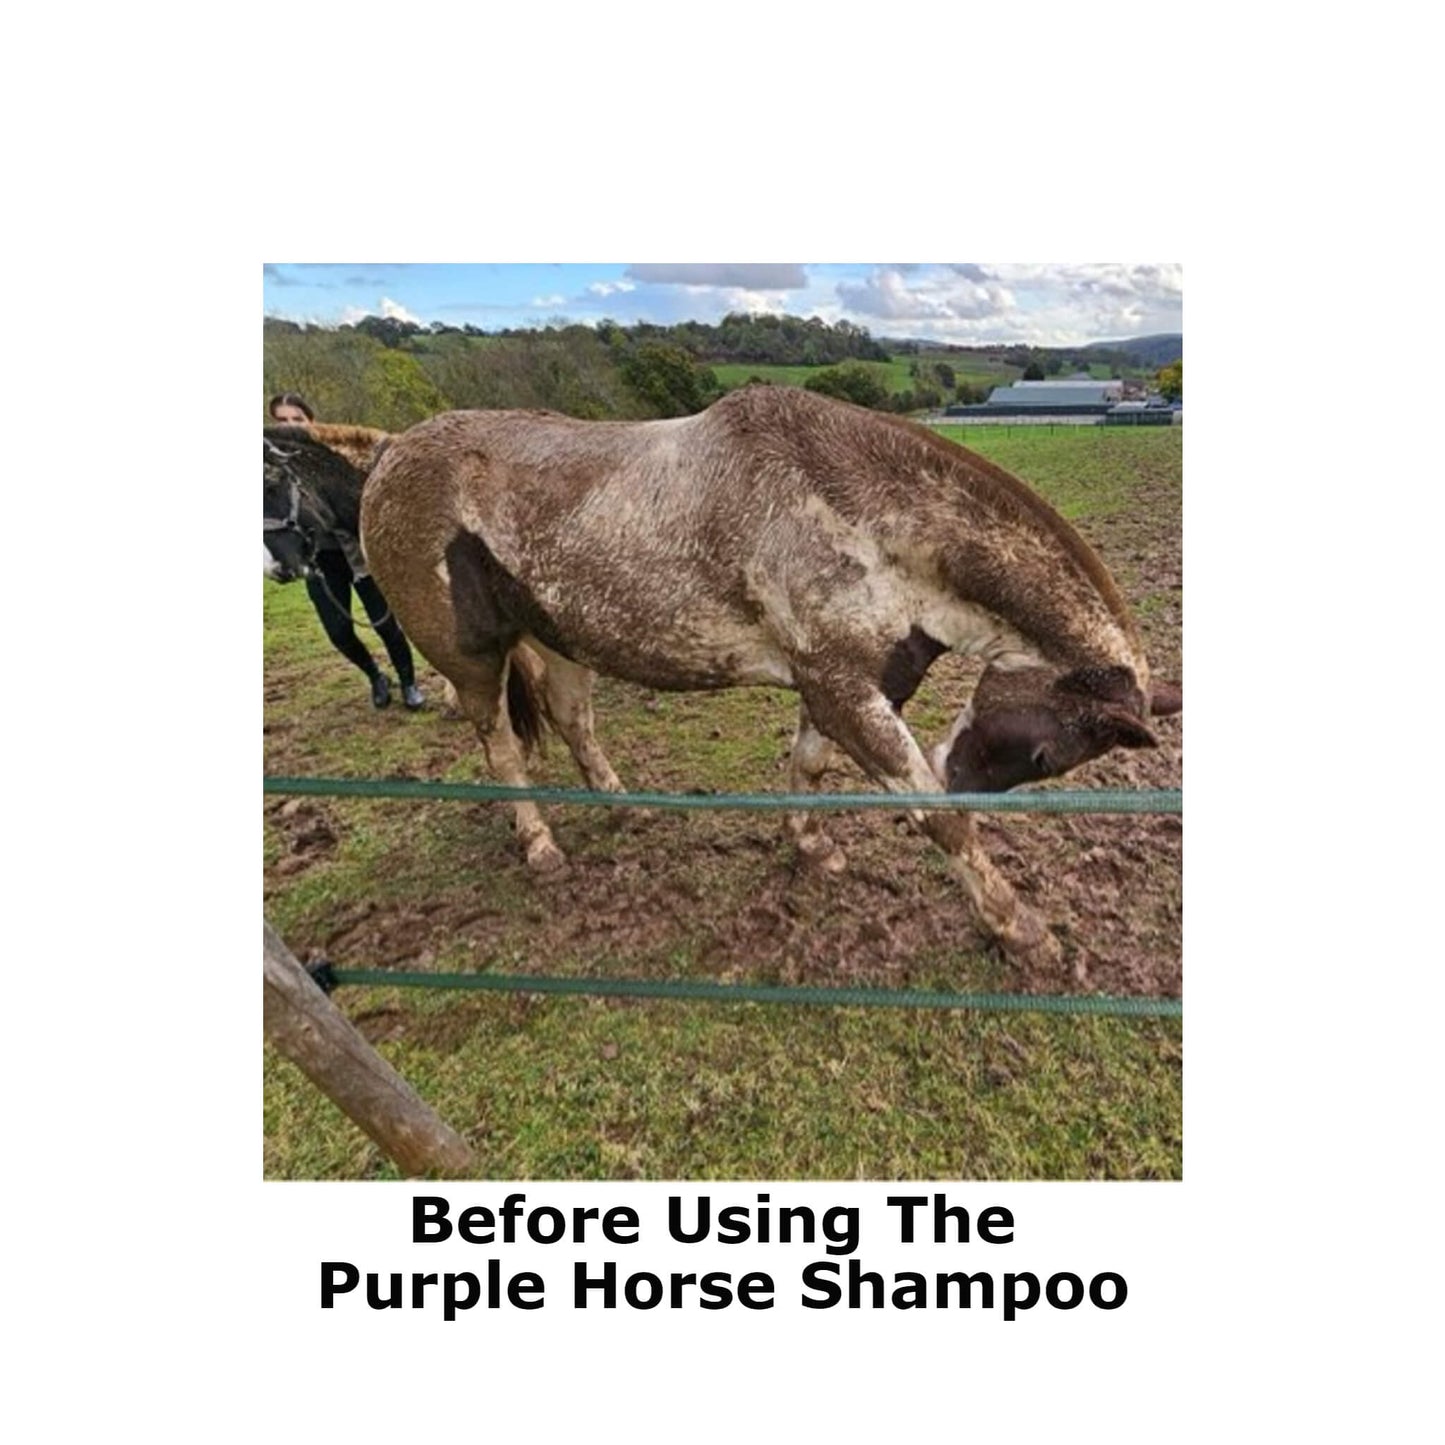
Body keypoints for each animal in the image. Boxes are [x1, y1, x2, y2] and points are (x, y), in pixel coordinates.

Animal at [359, 386, 1182, 971]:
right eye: (1044, 753)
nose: (957, 774)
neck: (862, 522)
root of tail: (390, 454)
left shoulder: (841, 684)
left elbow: (808, 767)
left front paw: (809, 846)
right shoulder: (847, 695)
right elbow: (939, 821)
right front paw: (1020, 930)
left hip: (561, 637)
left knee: (571, 718)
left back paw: (623, 807)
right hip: (473, 660)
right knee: (501, 745)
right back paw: (538, 843)